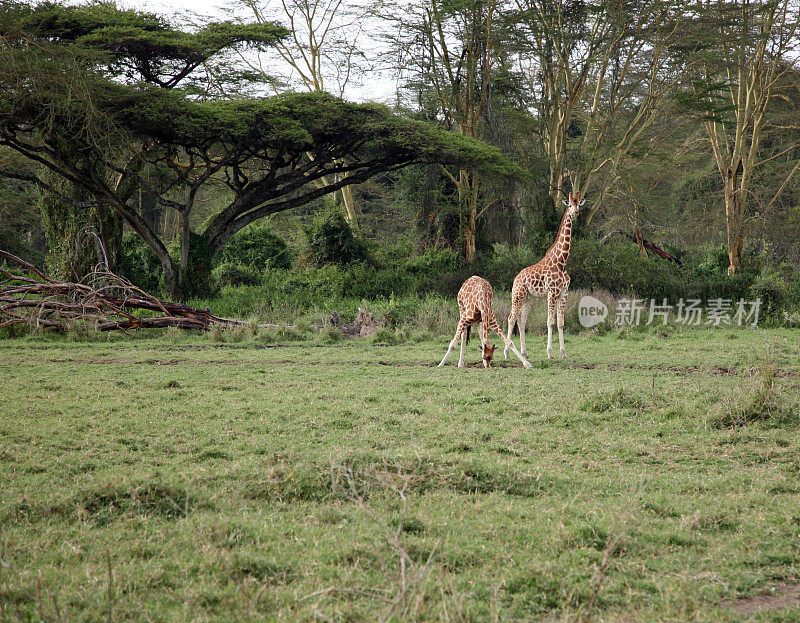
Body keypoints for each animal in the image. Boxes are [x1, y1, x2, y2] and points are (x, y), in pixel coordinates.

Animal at [506, 193, 588, 364]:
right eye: (569, 205)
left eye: (579, 204)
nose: (576, 213)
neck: (561, 262)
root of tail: (516, 278)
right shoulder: (552, 292)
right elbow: (550, 322)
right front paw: (550, 353)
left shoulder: (563, 293)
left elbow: (560, 323)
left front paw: (563, 353)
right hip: (517, 295)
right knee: (511, 318)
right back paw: (507, 353)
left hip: (529, 298)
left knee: (521, 320)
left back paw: (524, 353)